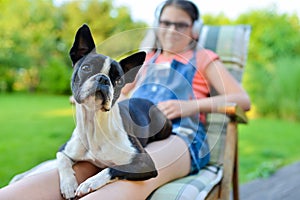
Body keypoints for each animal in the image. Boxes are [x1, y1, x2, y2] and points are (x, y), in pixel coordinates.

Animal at [56, 24, 172, 198]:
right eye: (86, 68)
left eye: (118, 80)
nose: (103, 79)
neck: (93, 125)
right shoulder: (64, 149)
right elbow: (62, 161)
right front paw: (68, 185)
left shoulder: (145, 163)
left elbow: (112, 168)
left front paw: (90, 182)